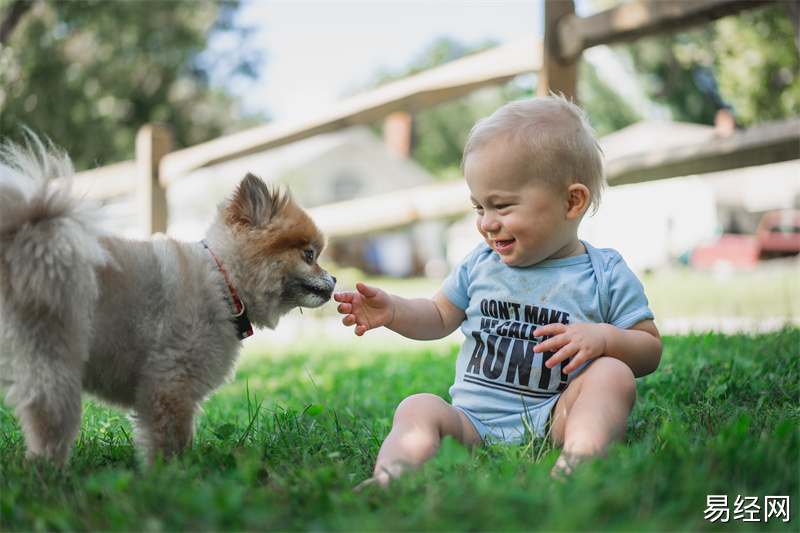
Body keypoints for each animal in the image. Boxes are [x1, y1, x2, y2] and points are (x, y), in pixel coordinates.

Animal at [0, 134, 336, 466]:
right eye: (309, 255)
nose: (334, 279)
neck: (223, 281)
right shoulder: (170, 382)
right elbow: (172, 439)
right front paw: (174, 474)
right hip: (54, 359)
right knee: (50, 422)